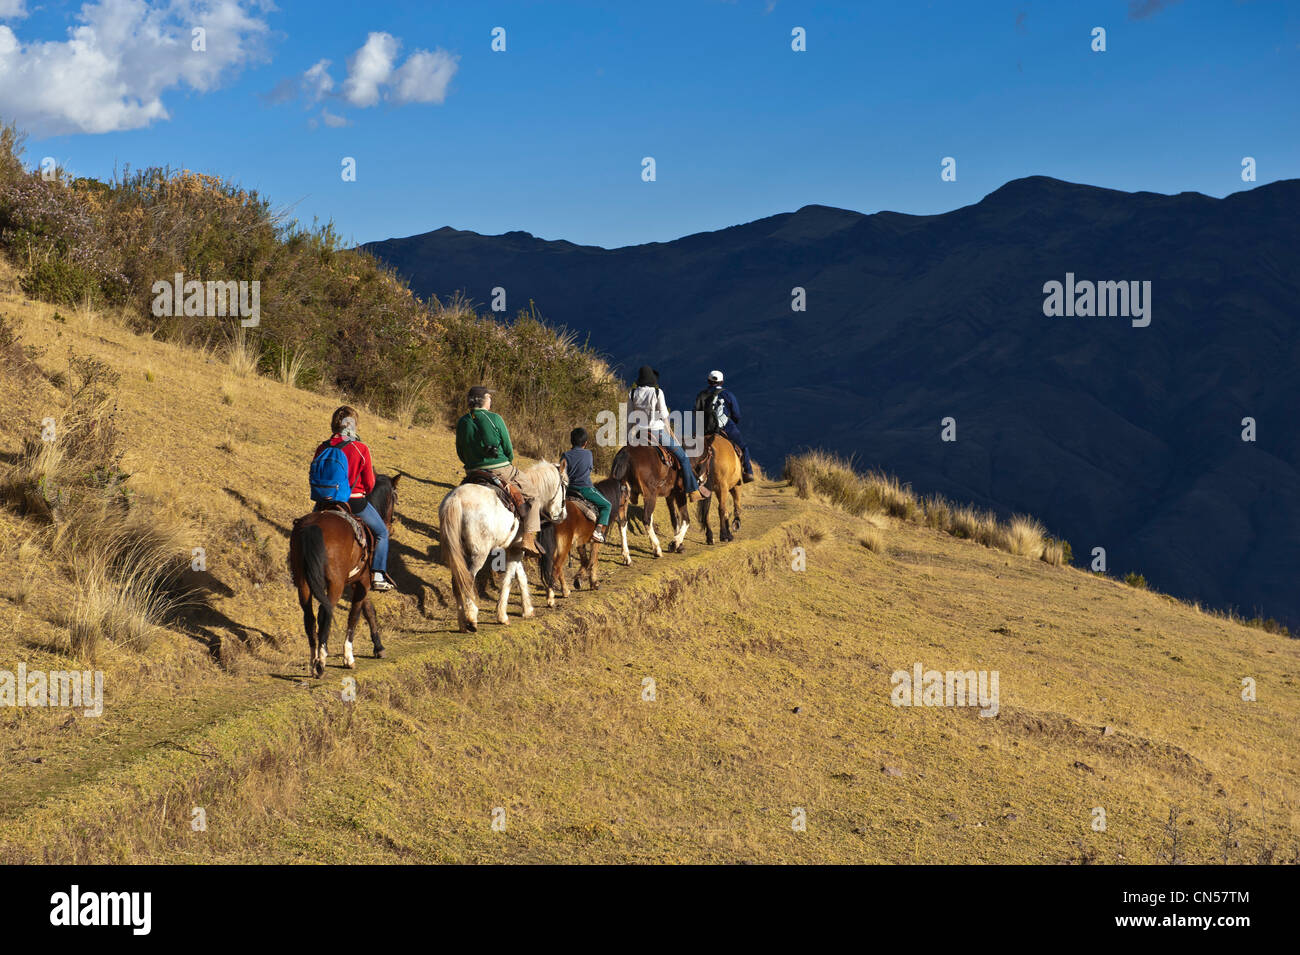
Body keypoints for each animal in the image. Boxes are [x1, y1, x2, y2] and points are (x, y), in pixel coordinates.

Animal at [287, 475, 397, 675]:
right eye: (395, 497)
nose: (390, 527)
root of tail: (313, 526)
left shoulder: (357, 581)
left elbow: (368, 610)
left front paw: (378, 646)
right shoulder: (363, 582)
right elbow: (355, 615)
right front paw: (348, 657)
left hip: (303, 583)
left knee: (310, 617)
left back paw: (313, 660)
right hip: (335, 584)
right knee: (326, 612)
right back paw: (321, 662)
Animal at [439, 462, 566, 631]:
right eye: (565, 485)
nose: (563, 515)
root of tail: (456, 499)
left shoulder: (515, 548)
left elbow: (521, 576)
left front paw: (528, 609)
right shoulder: (516, 550)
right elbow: (509, 578)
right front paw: (502, 616)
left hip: (458, 554)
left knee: (457, 581)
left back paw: (462, 622)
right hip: (478, 554)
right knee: (468, 580)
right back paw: (472, 619)